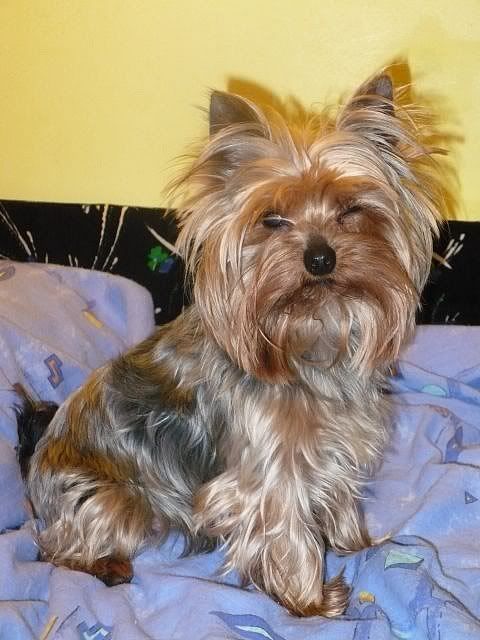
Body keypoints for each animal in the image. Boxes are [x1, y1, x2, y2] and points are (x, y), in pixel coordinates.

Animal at [19, 70, 443, 617]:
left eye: (351, 210)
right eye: (272, 219)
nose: (321, 259)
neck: (309, 333)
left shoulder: (337, 446)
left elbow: (340, 496)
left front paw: (357, 546)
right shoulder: (269, 468)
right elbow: (284, 525)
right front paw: (309, 603)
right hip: (112, 499)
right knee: (54, 548)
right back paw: (106, 566)